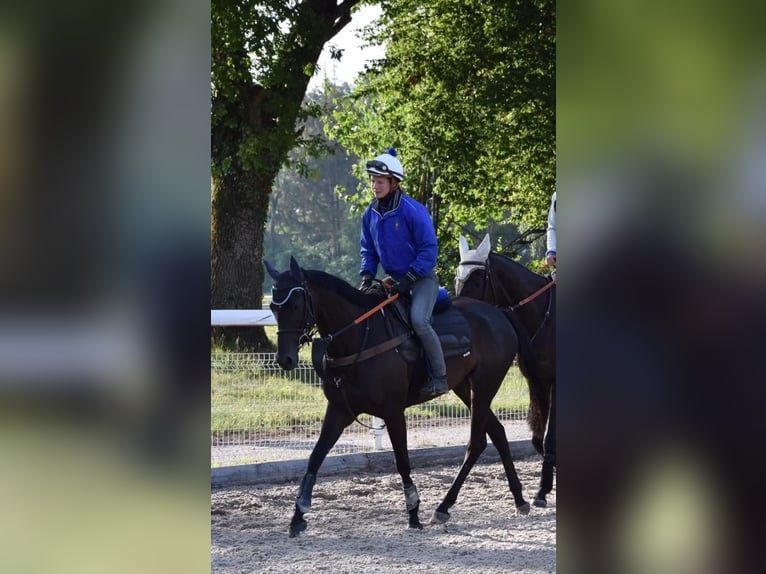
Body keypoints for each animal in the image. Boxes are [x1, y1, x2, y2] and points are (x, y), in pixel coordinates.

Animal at [266, 258, 544, 536]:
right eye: (273, 306)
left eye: (295, 304)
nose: (285, 359)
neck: (360, 336)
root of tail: (499, 314)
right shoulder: (339, 409)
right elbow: (315, 457)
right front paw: (298, 515)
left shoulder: (393, 411)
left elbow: (401, 461)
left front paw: (413, 513)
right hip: (466, 387)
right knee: (497, 432)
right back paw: (519, 499)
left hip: (484, 385)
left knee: (476, 443)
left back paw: (444, 506)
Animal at [456, 235, 560, 508]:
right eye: (458, 277)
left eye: (477, 279)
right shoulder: (537, 381)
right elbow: (538, 439)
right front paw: (544, 488)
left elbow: (550, 438)